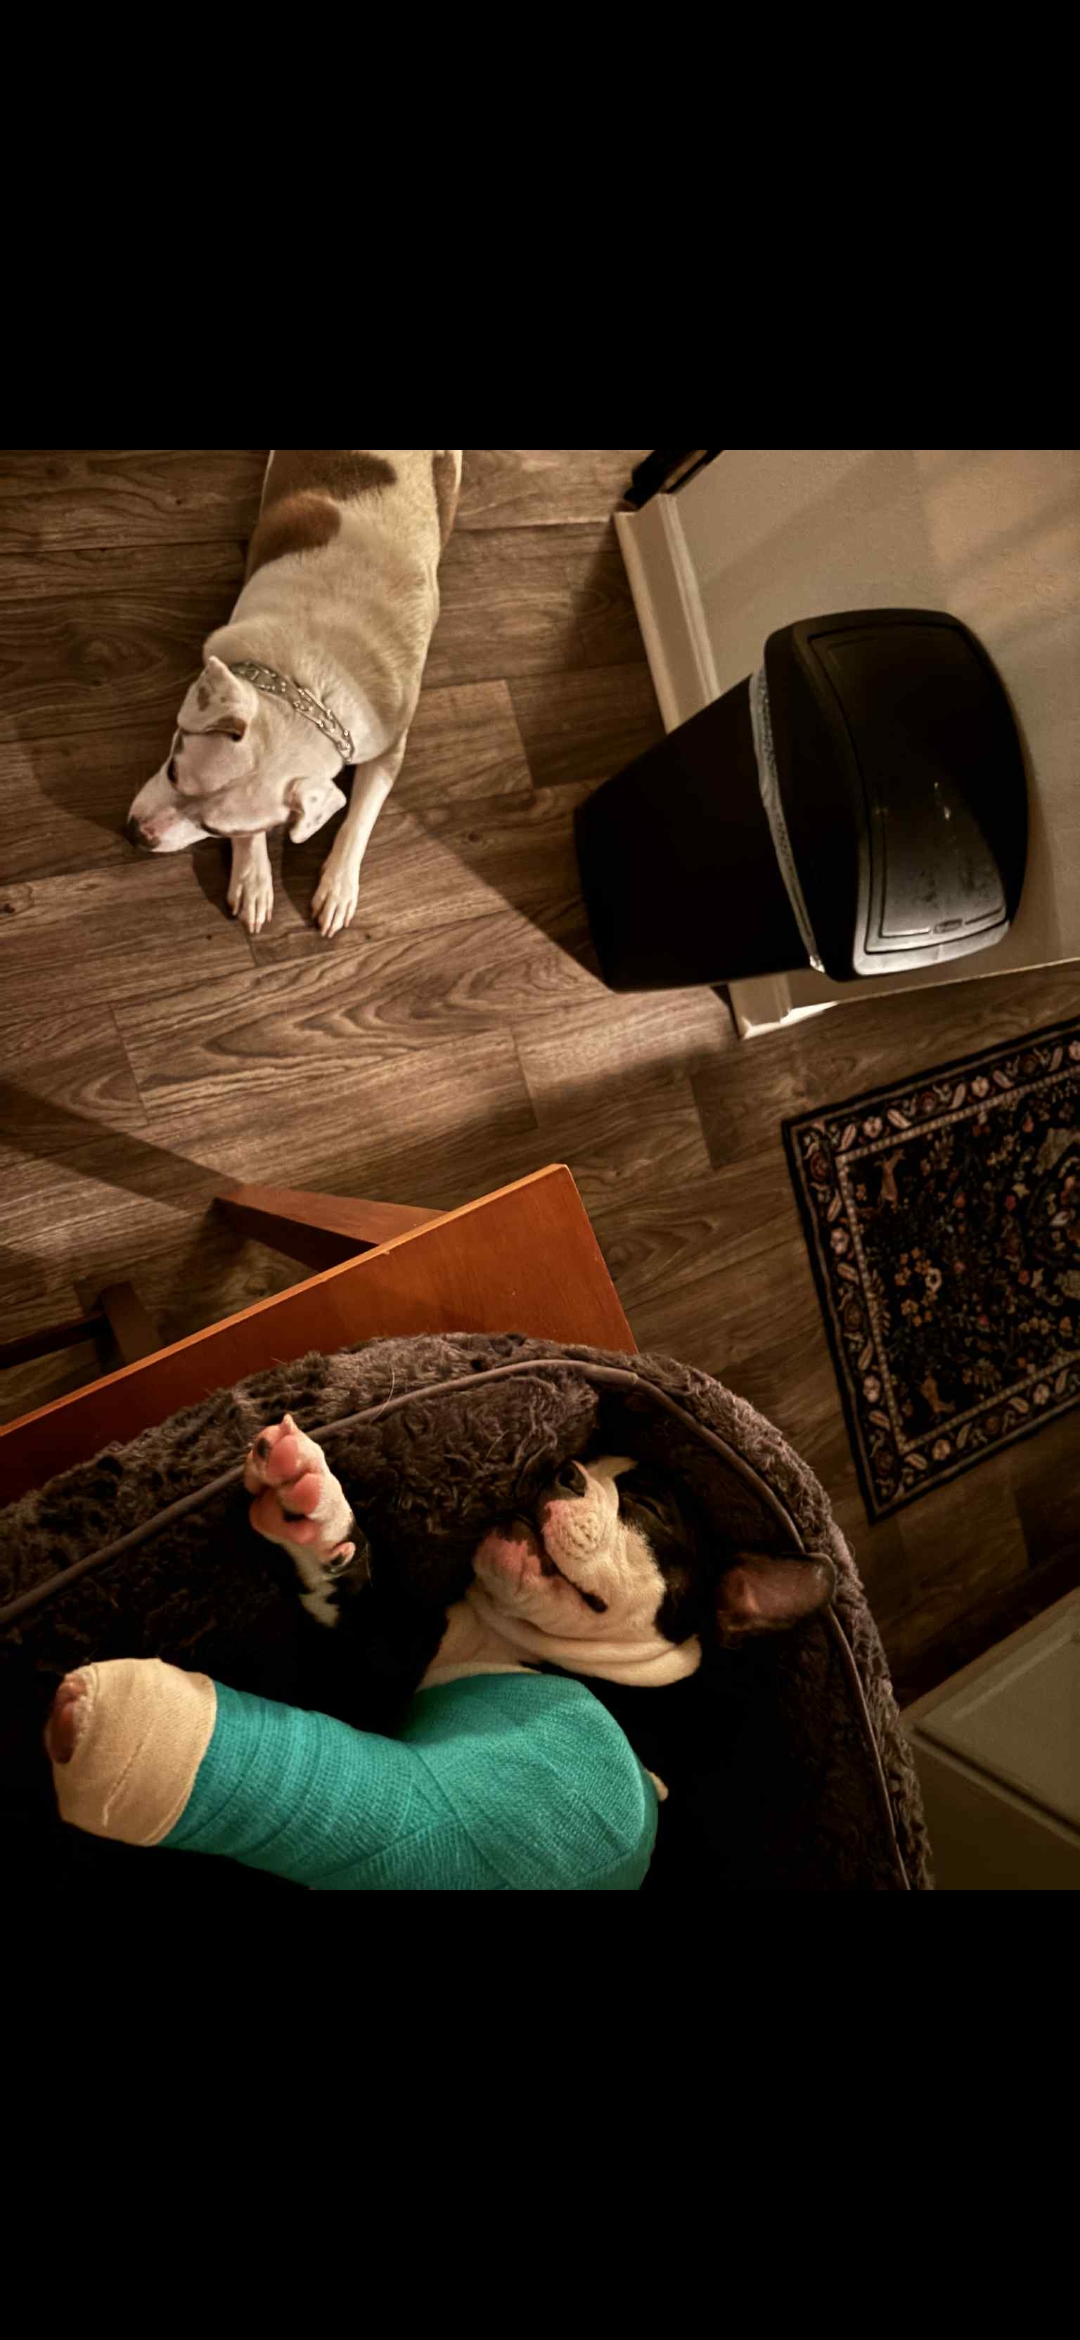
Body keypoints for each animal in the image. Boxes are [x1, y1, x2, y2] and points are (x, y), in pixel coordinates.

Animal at [125, 451, 462, 937]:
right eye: (171, 769)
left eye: (215, 830)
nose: (136, 834)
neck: (312, 682)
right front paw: (253, 877)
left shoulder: (387, 749)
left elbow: (361, 817)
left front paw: (338, 886)